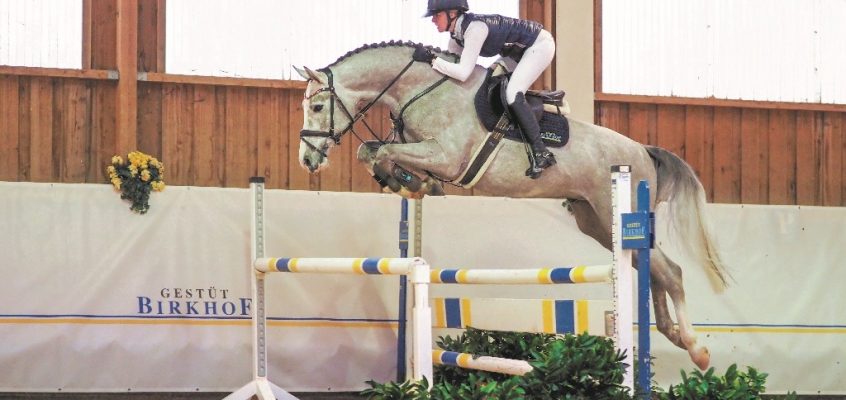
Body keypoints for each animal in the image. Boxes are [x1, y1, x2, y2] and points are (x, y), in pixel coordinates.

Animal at [294, 40, 728, 368]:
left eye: (316, 107)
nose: (308, 160)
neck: (422, 88)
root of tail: (642, 151)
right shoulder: (420, 149)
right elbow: (372, 150)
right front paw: (409, 184)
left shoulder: (447, 156)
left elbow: (380, 151)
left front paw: (409, 182)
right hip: (597, 222)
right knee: (653, 269)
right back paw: (676, 336)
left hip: (613, 212)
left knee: (670, 271)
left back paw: (697, 349)